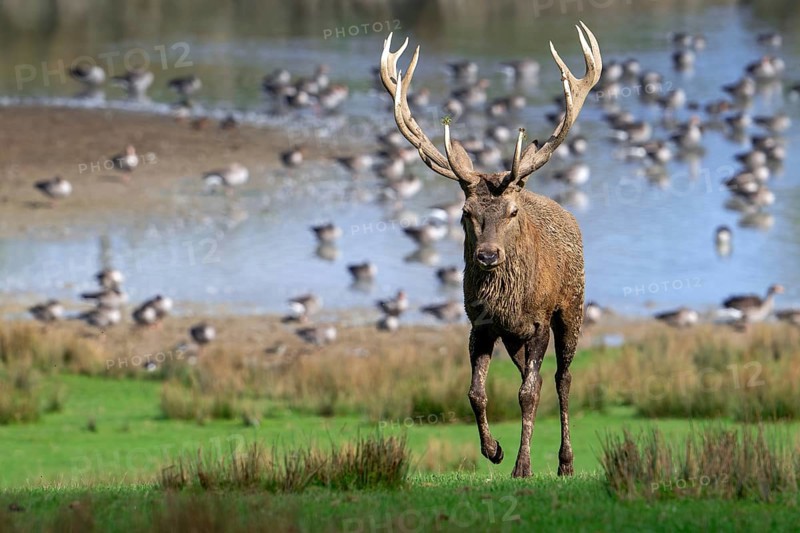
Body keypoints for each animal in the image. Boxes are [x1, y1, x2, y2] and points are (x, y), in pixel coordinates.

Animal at [379, 22, 602, 478]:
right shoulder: (480, 324)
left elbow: (528, 393)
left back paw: (565, 462)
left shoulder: (537, 320)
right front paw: (494, 451)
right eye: (465, 212)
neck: (508, 301)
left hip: (572, 305)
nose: (487, 256)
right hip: (514, 338)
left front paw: (522, 467)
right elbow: (476, 393)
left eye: (513, 211)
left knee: (562, 378)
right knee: (535, 376)